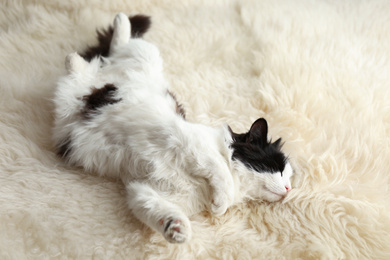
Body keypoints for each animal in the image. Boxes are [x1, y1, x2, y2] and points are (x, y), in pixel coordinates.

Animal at [53, 12, 294, 244]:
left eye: (289, 178)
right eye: (276, 168)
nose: (289, 189)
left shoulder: (145, 190)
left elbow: (158, 210)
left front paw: (177, 230)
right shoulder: (191, 142)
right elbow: (221, 172)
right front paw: (220, 204)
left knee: (97, 64)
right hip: (145, 56)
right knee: (109, 51)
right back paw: (98, 39)